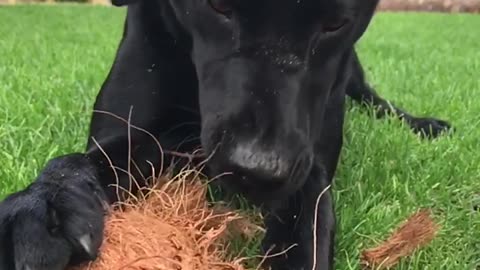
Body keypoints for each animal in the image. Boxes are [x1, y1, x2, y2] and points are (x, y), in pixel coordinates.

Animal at [0, 0, 450, 270]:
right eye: (216, 5)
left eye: (335, 23)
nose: (258, 168)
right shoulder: (132, 134)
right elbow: (79, 162)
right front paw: (44, 206)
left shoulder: (310, 172)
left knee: (375, 98)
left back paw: (423, 124)